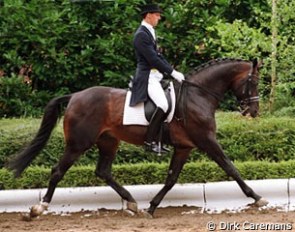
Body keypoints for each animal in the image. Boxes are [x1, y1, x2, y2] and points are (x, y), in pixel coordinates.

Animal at [6, 57, 268, 218]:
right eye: (253, 81)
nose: (254, 111)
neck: (198, 96)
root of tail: (75, 96)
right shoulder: (206, 141)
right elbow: (231, 168)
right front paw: (257, 198)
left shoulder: (184, 147)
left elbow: (171, 179)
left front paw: (151, 207)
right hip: (78, 144)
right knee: (58, 171)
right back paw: (39, 208)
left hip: (108, 141)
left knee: (103, 171)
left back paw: (132, 202)